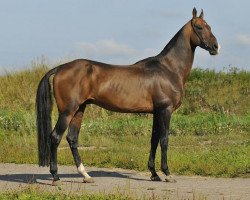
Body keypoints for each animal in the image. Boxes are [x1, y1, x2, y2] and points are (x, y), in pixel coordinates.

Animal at [35, 8, 219, 186]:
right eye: (199, 27)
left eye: (209, 26)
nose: (216, 47)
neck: (168, 69)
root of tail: (60, 68)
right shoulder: (165, 110)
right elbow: (164, 139)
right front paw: (167, 174)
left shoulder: (156, 112)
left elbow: (154, 139)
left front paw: (154, 174)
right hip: (67, 111)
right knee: (55, 137)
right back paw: (55, 177)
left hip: (79, 109)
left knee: (72, 138)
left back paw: (85, 175)